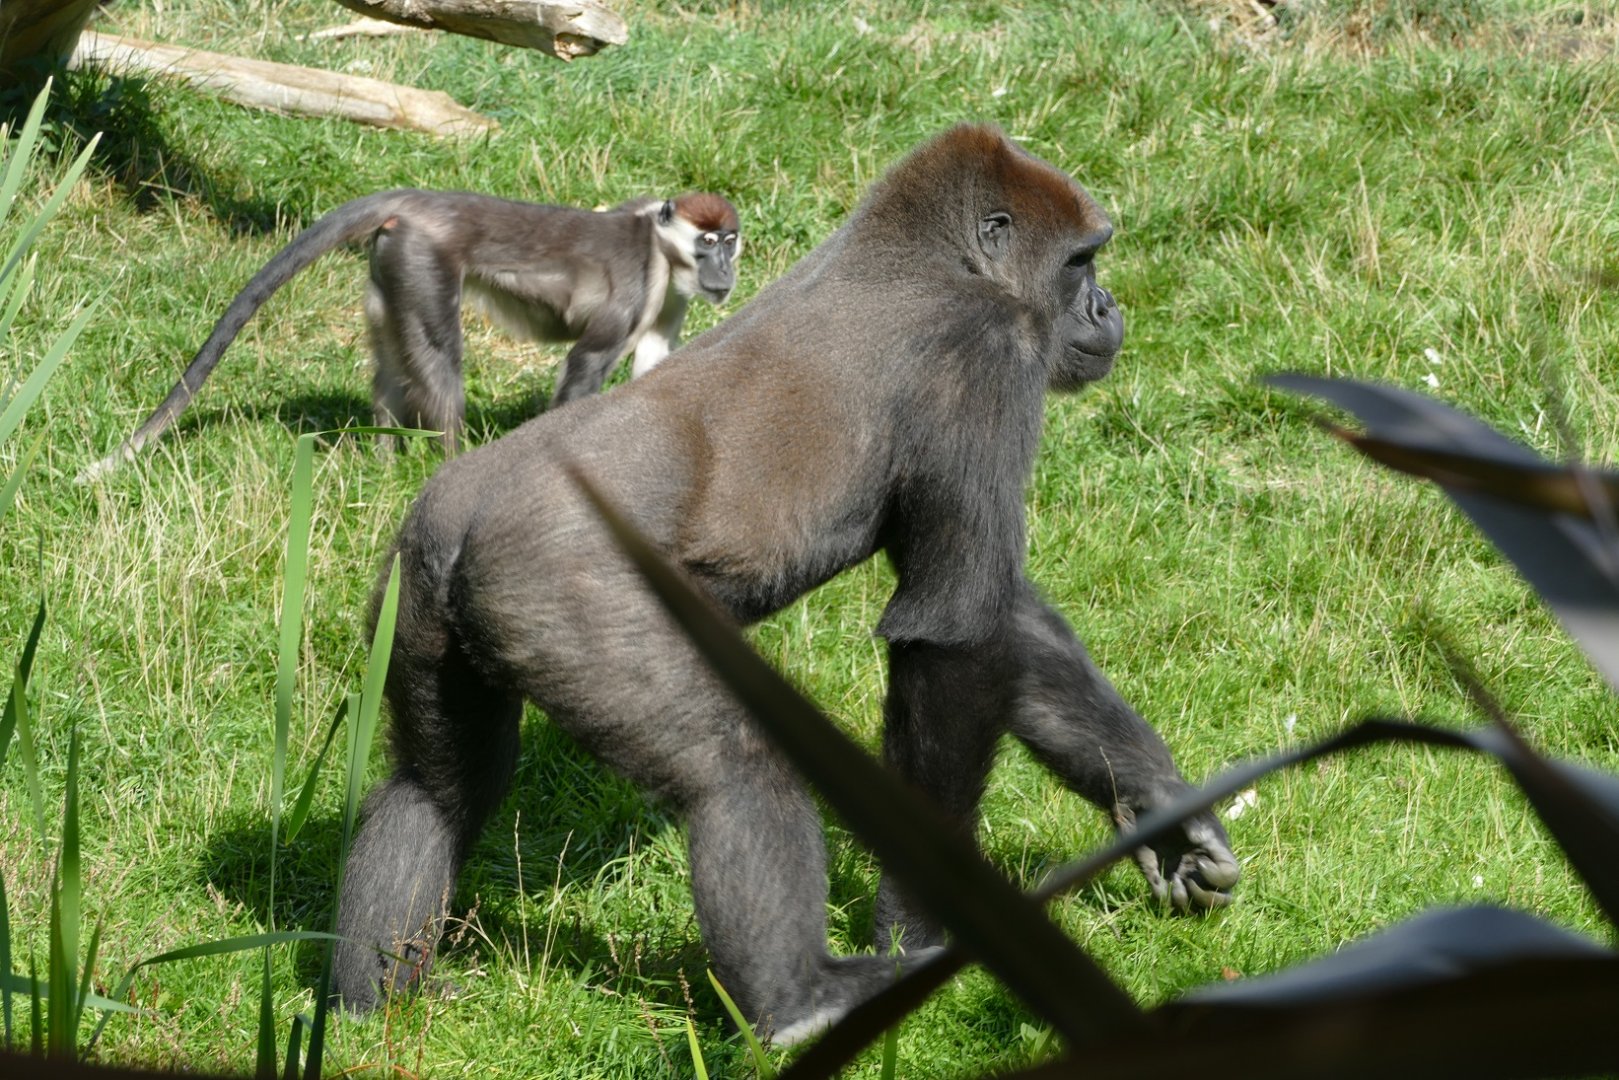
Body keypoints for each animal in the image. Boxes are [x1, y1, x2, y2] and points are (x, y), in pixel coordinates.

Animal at [78, 190, 741, 479]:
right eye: (707, 243)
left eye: (729, 242)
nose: (725, 271)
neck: (661, 251)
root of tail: (420, 201)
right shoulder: (633, 284)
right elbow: (586, 367)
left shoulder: (668, 303)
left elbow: (655, 370)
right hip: (423, 262)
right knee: (440, 362)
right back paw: (443, 467)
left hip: (390, 269)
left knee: (394, 367)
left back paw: (385, 455)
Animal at [331, 124, 1240, 1043]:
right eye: (1080, 262)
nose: (1107, 309)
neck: (937, 259)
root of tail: (460, 517)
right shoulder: (985, 353)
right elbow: (953, 638)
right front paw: (924, 927)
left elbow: (1001, 620)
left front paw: (1162, 812)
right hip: (559, 586)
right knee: (733, 766)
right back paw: (799, 1001)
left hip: (415, 589)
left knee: (435, 789)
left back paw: (376, 998)